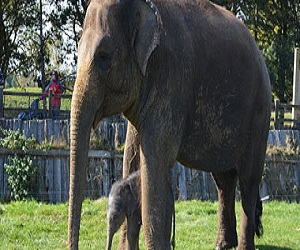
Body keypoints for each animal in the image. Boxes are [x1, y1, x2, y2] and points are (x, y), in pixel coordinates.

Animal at [69, 0, 270, 249]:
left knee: (249, 180)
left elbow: (155, 162)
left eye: (104, 57)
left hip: (259, 114)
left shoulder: (173, 79)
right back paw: (223, 244)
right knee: (224, 179)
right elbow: (131, 156)